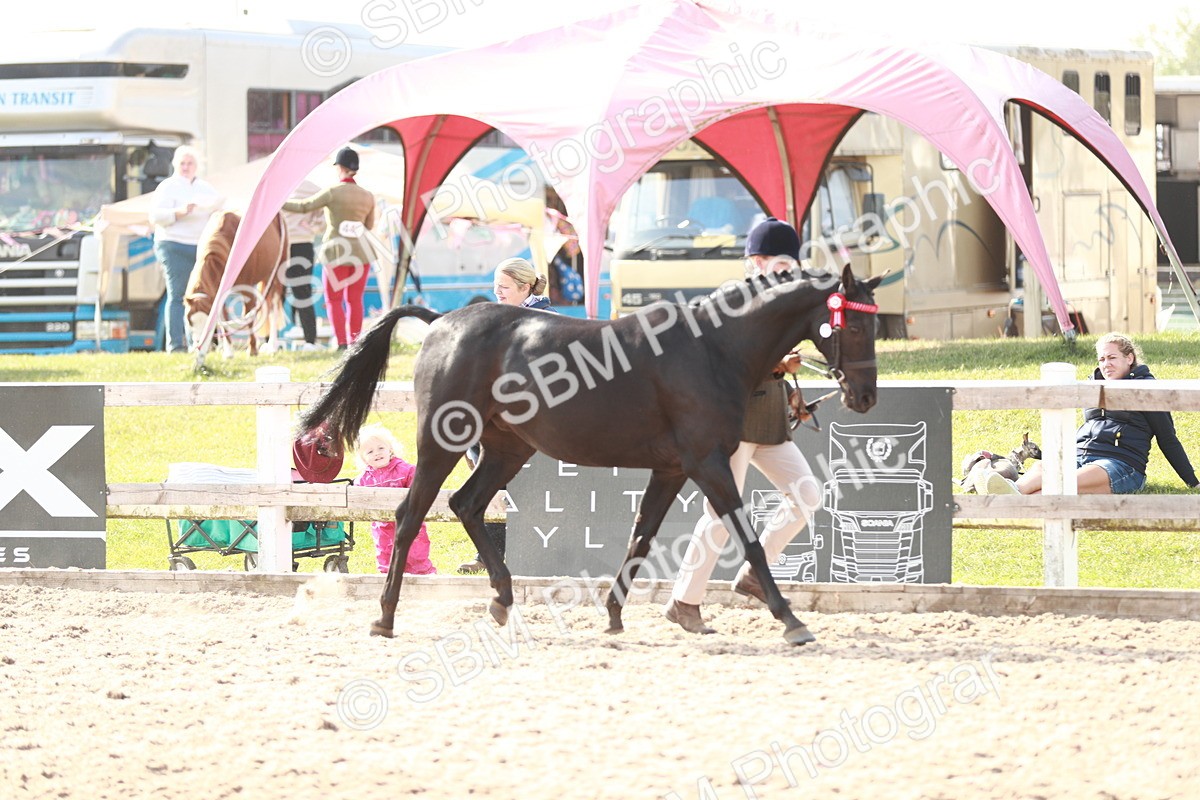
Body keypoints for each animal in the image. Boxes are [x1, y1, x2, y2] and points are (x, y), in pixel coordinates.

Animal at [185, 210, 289, 356]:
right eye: (190, 321)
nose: (198, 344)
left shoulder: (247, 288)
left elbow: (248, 316)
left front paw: (252, 349)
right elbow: (223, 318)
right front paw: (228, 352)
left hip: (275, 274)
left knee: (273, 308)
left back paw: (272, 346)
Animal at [301, 263, 882, 645]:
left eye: (874, 323)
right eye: (853, 324)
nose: (865, 397)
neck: (711, 349)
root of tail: (443, 320)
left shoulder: (672, 468)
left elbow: (641, 537)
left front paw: (614, 616)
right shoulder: (707, 463)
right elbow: (748, 538)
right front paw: (791, 620)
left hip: (507, 448)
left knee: (466, 505)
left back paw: (502, 602)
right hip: (443, 443)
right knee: (408, 515)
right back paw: (385, 618)